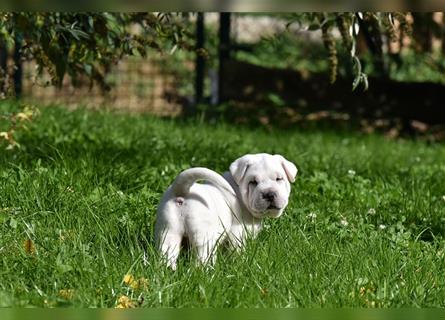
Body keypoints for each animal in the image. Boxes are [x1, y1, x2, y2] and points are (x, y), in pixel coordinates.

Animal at [154, 154, 296, 268]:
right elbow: (238, 252)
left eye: (279, 179)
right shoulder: (237, 234)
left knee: (167, 254)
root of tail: (182, 191)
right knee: (201, 260)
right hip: (204, 238)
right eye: (253, 182)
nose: (269, 194)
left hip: (168, 231)